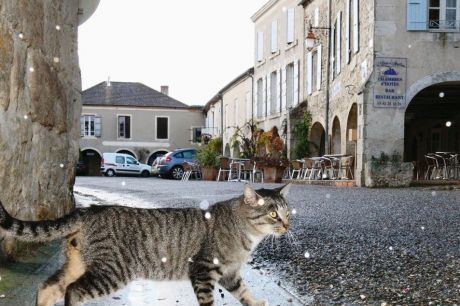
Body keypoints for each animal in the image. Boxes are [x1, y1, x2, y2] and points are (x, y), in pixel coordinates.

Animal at [0, 184, 292, 306]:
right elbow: (208, 301)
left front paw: (256, 303)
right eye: (273, 214)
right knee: (73, 291)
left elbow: (244, 292)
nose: (288, 225)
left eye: (288, 212)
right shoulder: (203, 269)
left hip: (79, 263)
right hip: (114, 270)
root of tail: (90, 210)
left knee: (48, 287)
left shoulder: (230, 273)